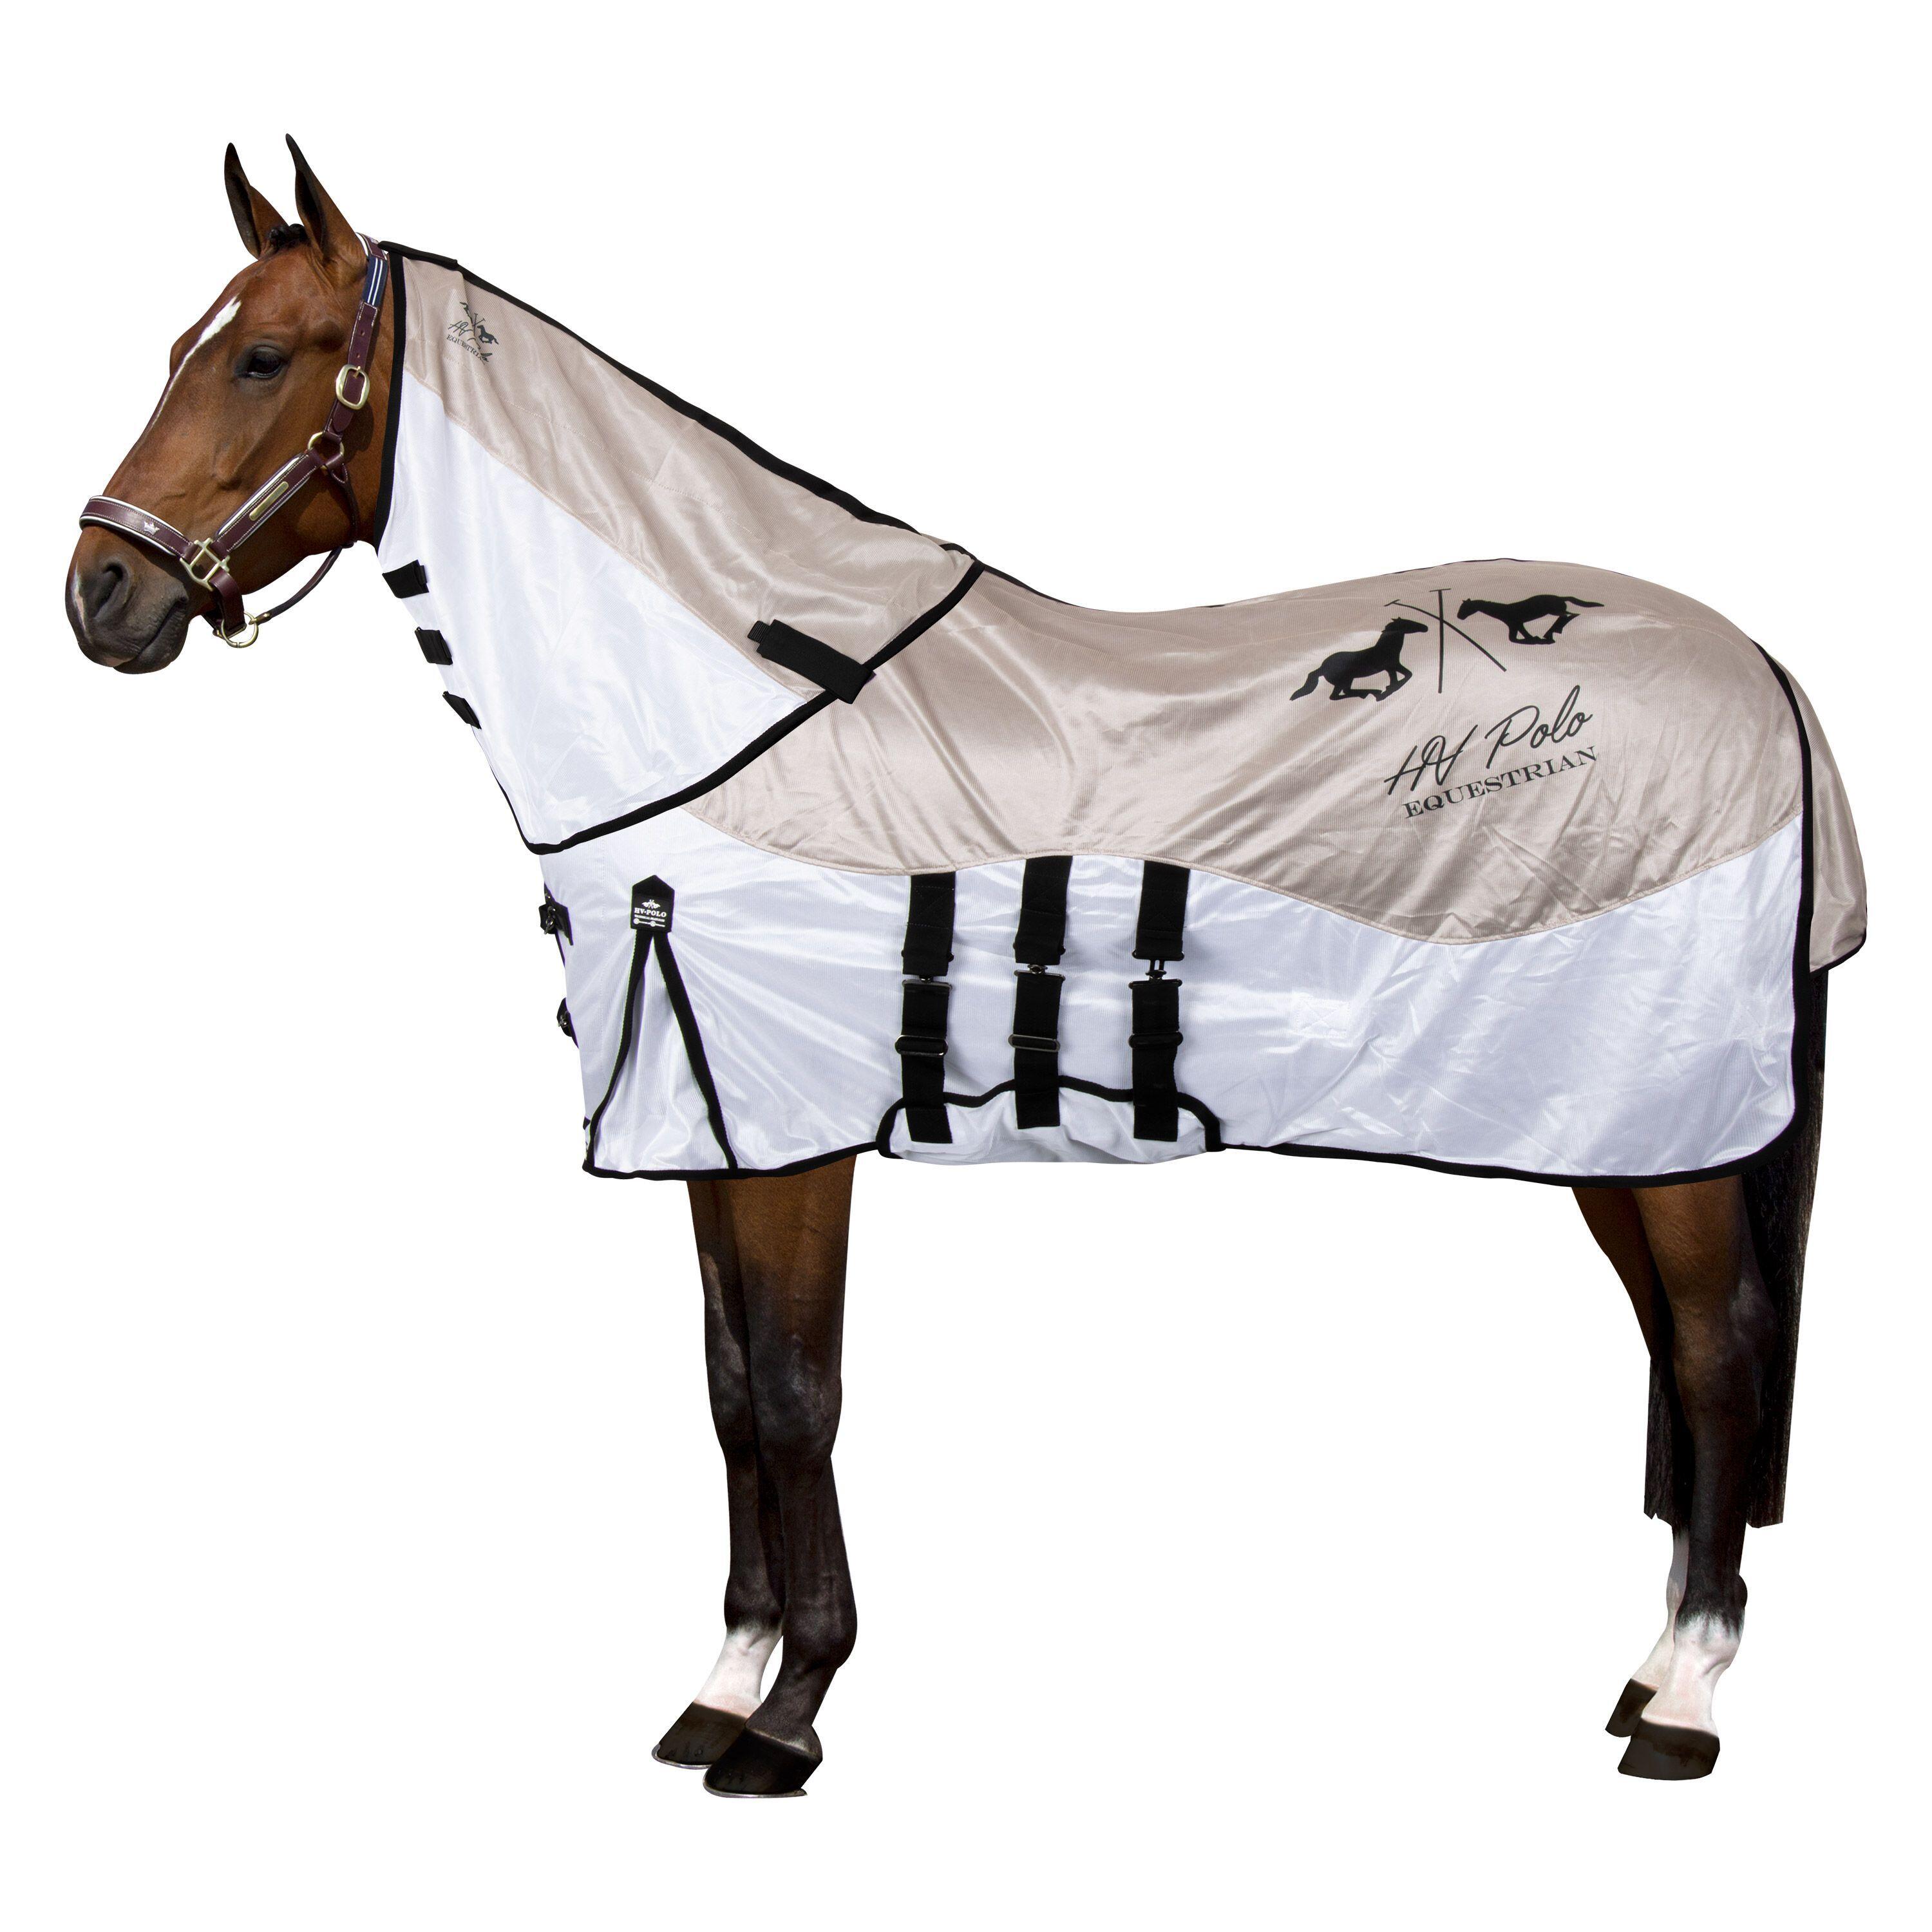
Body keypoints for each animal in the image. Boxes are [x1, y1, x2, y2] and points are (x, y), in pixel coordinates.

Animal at [65, 142, 1865, 1797]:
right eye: (182, 345)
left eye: (262, 355)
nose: (101, 591)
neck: (727, 711)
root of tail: (1762, 672)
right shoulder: (716, 1130)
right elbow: (729, 1389)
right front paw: (721, 1682)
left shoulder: (796, 1140)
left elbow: (797, 1392)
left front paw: (790, 1715)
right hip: (1619, 1136)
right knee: (1684, 1351)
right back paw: (1649, 1669)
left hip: (1661, 1128)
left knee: (1716, 1353)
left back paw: (1687, 1703)